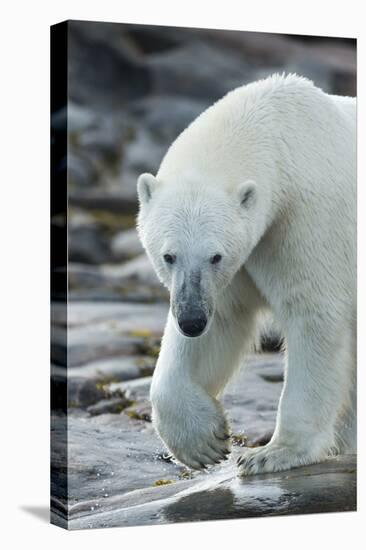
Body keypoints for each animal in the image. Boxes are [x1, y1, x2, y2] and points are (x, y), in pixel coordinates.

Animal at [136, 74, 356, 478]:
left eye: (215, 256)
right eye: (168, 255)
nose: (190, 320)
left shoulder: (308, 222)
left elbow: (314, 313)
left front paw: (272, 453)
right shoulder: (239, 266)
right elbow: (223, 321)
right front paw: (204, 442)